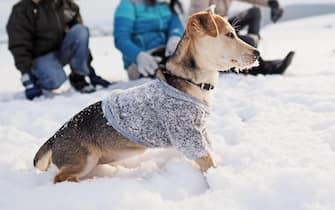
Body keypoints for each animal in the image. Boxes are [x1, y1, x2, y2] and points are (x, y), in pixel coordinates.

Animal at [33, 8, 260, 182]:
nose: (257, 52)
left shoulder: (201, 131)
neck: (194, 83)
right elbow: (207, 162)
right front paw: (218, 179)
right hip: (83, 160)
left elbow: (211, 151)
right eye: (229, 35)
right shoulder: (187, 135)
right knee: (59, 178)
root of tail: (55, 136)